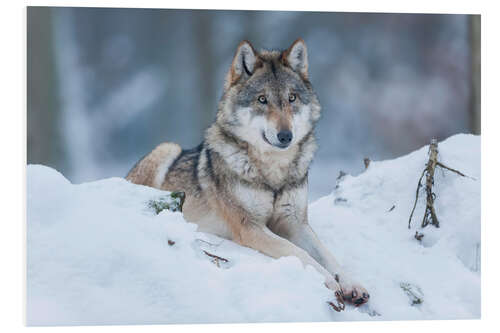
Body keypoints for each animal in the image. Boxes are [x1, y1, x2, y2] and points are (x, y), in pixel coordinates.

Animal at [127, 39, 370, 308]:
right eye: (262, 99)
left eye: (292, 98)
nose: (285, 135)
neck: (273, 174)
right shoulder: (249, 226)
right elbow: (299, 252)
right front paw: (327, 281)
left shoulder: (295, 223)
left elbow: (327, 255)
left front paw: (351, 284)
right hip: (167, 147)